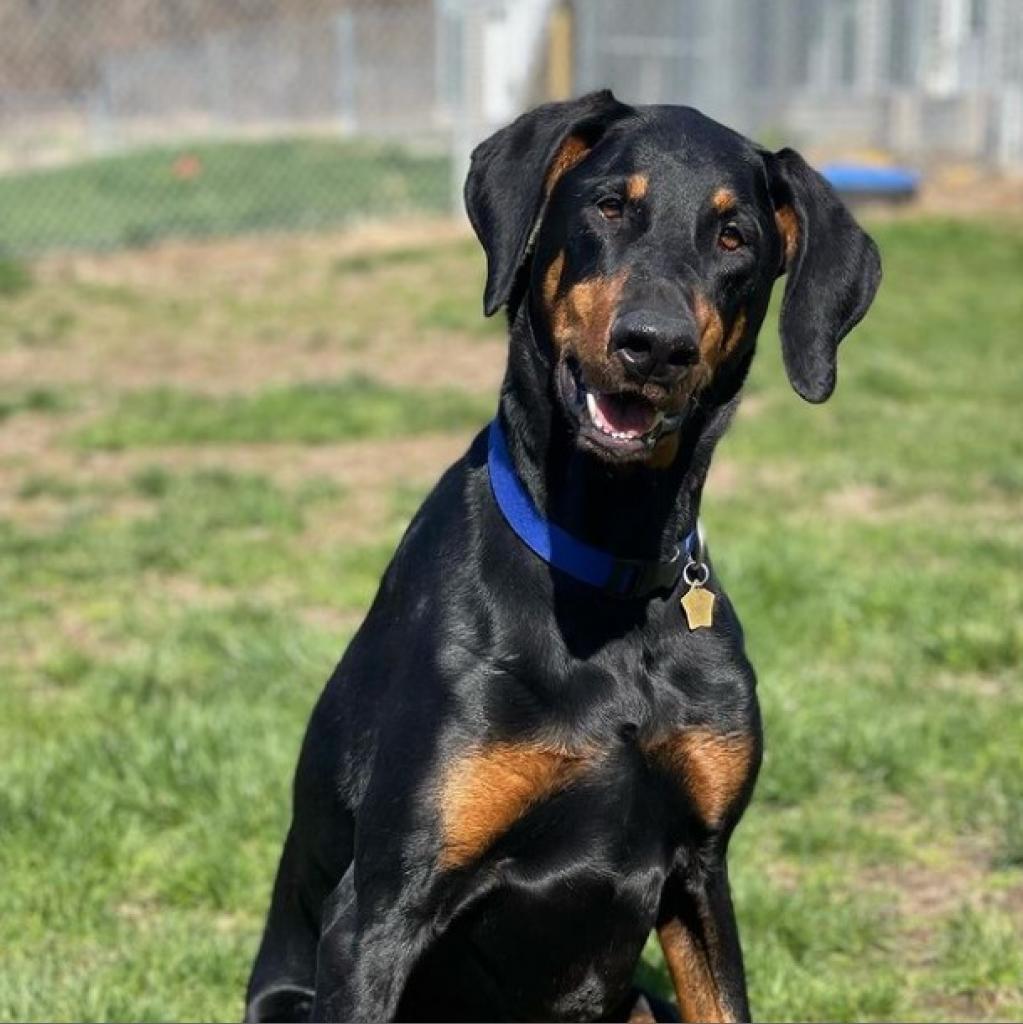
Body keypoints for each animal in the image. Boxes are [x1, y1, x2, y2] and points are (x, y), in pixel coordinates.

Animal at [245, 92, 880, 1019]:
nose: (655, 345)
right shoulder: (378, 911)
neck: (607, 567)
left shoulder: (700, 869)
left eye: (734, 237)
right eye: (609, 205)